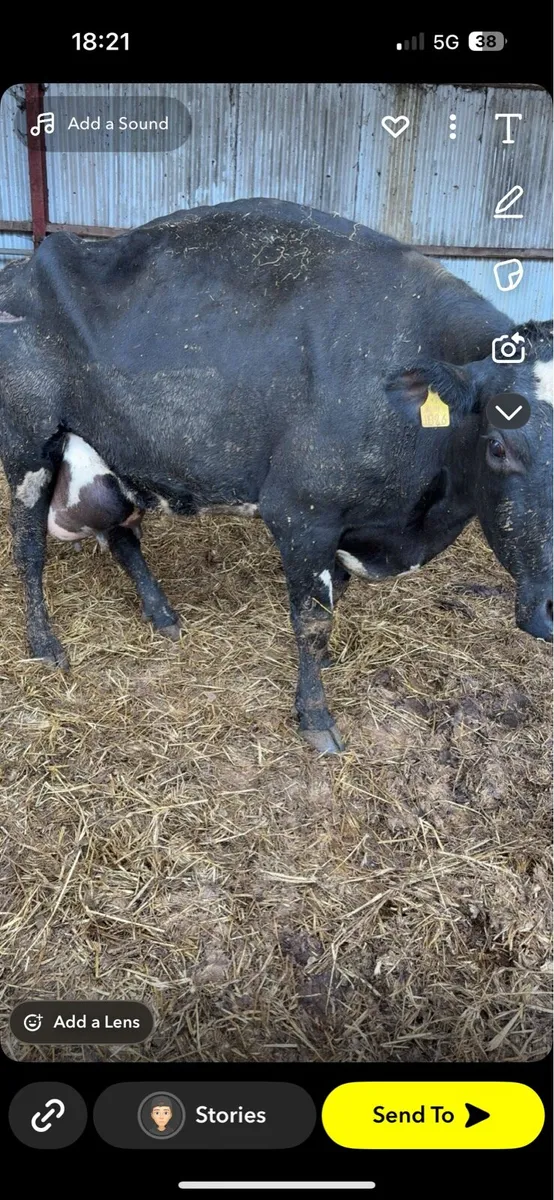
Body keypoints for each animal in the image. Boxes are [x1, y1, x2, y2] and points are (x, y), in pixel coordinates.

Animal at [0, 198, 551, 753]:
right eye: (498, 446)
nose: (550, 609)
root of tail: (25, 264)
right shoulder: (301, 512)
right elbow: (312, 617)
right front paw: (315, 714)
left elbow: (334, 598)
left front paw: (325, 665)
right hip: (28, 445)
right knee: (29, 547)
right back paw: (44, 642)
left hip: (112, 459)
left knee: (121, 535)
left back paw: (162, 614)